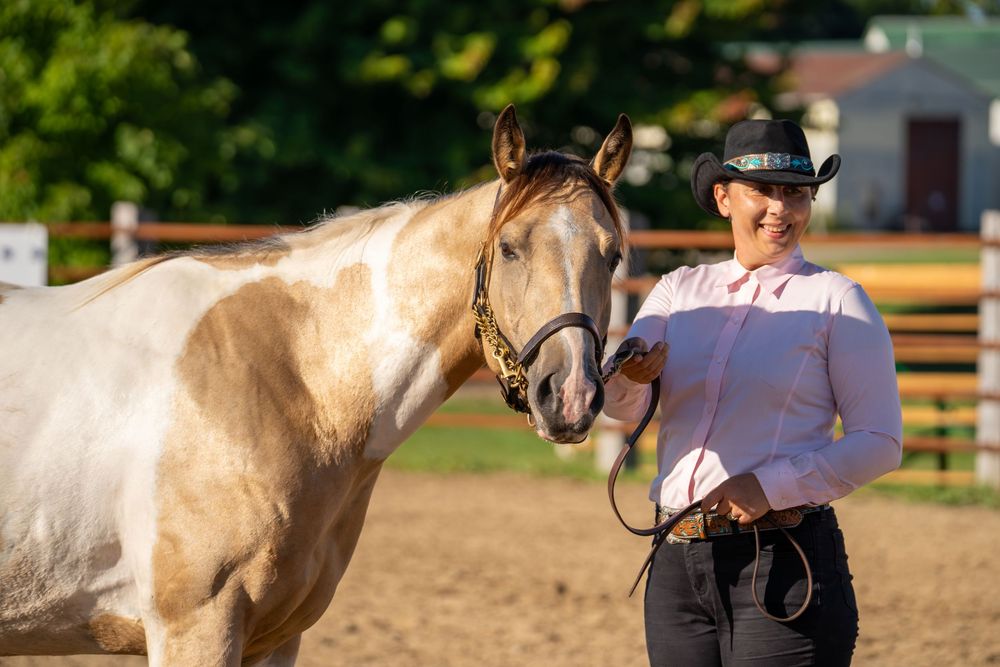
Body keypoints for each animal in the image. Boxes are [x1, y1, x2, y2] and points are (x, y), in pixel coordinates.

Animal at [0, 105, 632, 665]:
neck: (287, 378)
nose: (571, 395)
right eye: (509, 247)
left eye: (614, 257)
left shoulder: (276, 639)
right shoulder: (194, 629)